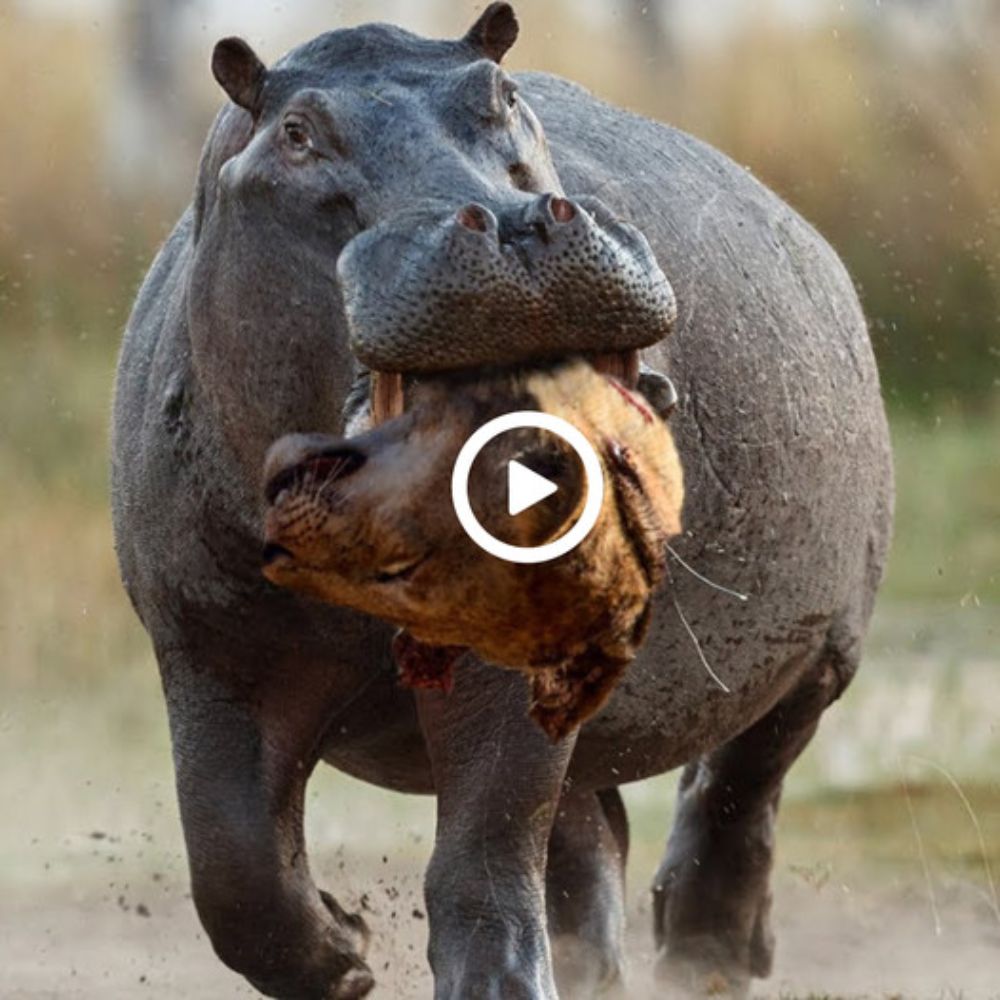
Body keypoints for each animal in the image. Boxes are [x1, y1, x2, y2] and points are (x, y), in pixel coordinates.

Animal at [109, 3, 892, 996]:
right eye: (296, 133)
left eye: (504, 94)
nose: (516, 227)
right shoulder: (209, 654)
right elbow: (235, 873)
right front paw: (348, 953)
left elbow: (482, 857)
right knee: (595, 838)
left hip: (824, 640)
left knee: (743, 782)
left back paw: (707, 957)